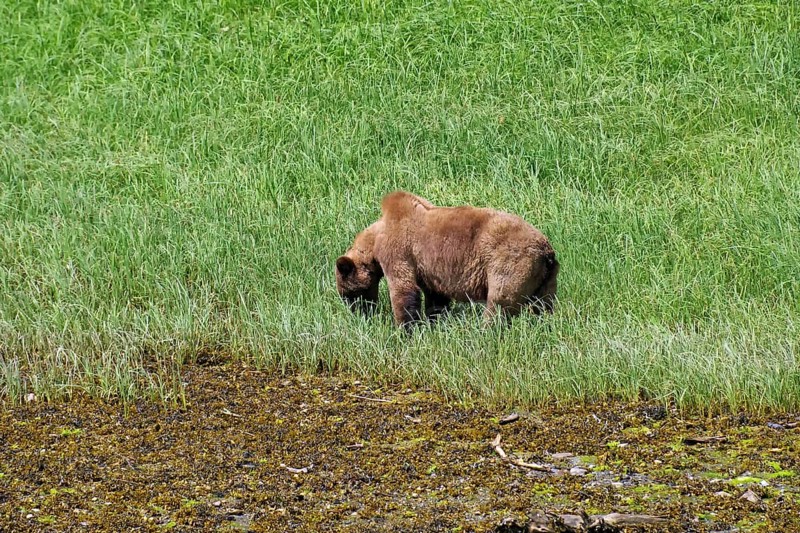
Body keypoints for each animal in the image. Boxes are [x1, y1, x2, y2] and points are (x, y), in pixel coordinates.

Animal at [335, 191, 559, 329]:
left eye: (348, 295)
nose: (358, 313)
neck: (374, 241)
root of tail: (545, 248)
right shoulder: (428, 270)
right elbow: (436, 297)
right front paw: (434, 320)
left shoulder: (398, 250)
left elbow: (403, 290)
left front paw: (404, 329)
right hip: (545, 276)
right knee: (544, 305)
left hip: (509, 260)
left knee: (499, 302)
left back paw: (485, 332)